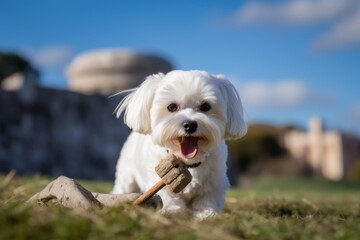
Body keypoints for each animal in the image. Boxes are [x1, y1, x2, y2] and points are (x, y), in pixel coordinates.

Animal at [112, 69, 248, 219]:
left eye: (205, 106)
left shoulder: (214, 184)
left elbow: (207, 201)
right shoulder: (163, 180)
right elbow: (168, 198)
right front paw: (171, 212)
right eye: (172, 107)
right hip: (127, 177)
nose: (190, 125)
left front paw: (206, 215)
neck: (188, 162)